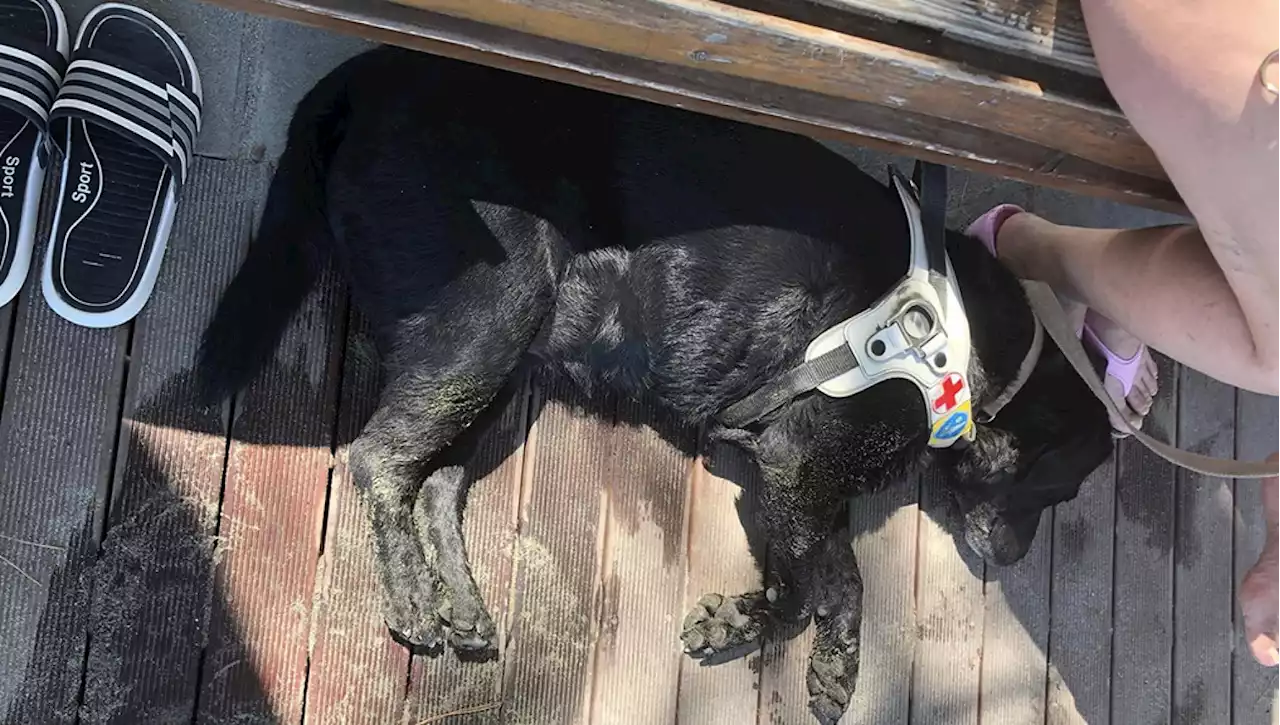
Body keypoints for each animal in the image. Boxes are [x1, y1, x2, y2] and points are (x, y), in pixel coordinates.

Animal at [194, 48, 1116, 722]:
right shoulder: (799, 463)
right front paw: (769, 634)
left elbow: (828, 578)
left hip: (509, 366)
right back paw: (416, 600)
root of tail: (372, 68)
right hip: (492, 311)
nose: (1014, 558)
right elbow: (818, 582)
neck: (971, 350)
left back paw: (461, 604)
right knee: (381, 459)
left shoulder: (783, 471)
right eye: (1057, 489)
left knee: (438, 481)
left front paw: (810, 654)